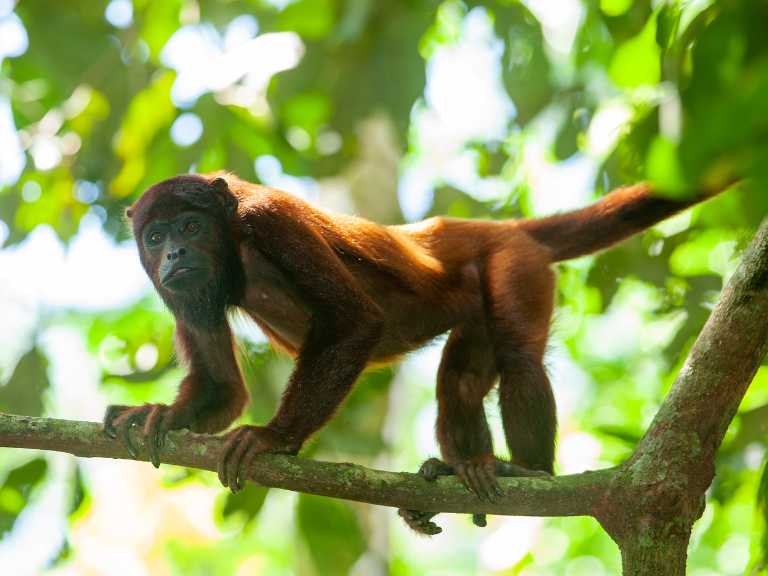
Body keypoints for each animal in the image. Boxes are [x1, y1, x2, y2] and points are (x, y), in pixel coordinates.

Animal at [100, 172, 712, 536]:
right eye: (154, 238)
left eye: (190, 225)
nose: (175, 253)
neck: (235, 243)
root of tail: (488, 226)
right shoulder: (179, 289)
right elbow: (224, 388)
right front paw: (161, 415)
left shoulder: (271, 219)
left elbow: (357, 323)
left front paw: (273, 438)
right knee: (460, 380)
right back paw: (457, 475)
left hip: (513, 262)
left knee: (519, 356)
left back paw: (529, 469)